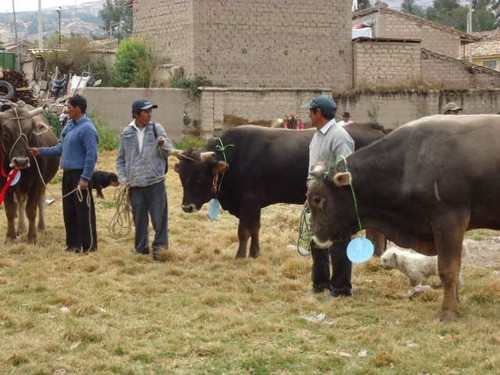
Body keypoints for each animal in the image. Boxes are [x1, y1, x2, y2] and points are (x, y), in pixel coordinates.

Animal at [0, 103, 60, 244]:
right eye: (5, 135)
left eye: (29, 133)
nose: (21, 161)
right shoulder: (4, 184)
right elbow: (10, 211)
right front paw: (10, 236)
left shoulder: (36, 183)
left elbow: (31, 210)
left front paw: (32, 236)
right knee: (20, 201)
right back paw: (21, 228)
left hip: (43, 184)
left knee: (40, 201)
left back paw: (41, 227)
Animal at [175, 123, 386, 258]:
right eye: (182, 178)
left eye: (199, 178)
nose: (186, 207)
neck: (235, 156)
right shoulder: (255, 203)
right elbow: (255, 228)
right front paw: (255, 253)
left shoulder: (249, 200)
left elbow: (243, 230)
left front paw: (240, 256)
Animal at [304, 114, 500, 320]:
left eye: (317, 199)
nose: (314, 239)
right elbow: (457, 267)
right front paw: (456, 303)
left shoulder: (449, 220)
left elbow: (448, 269)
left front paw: (448, 312)